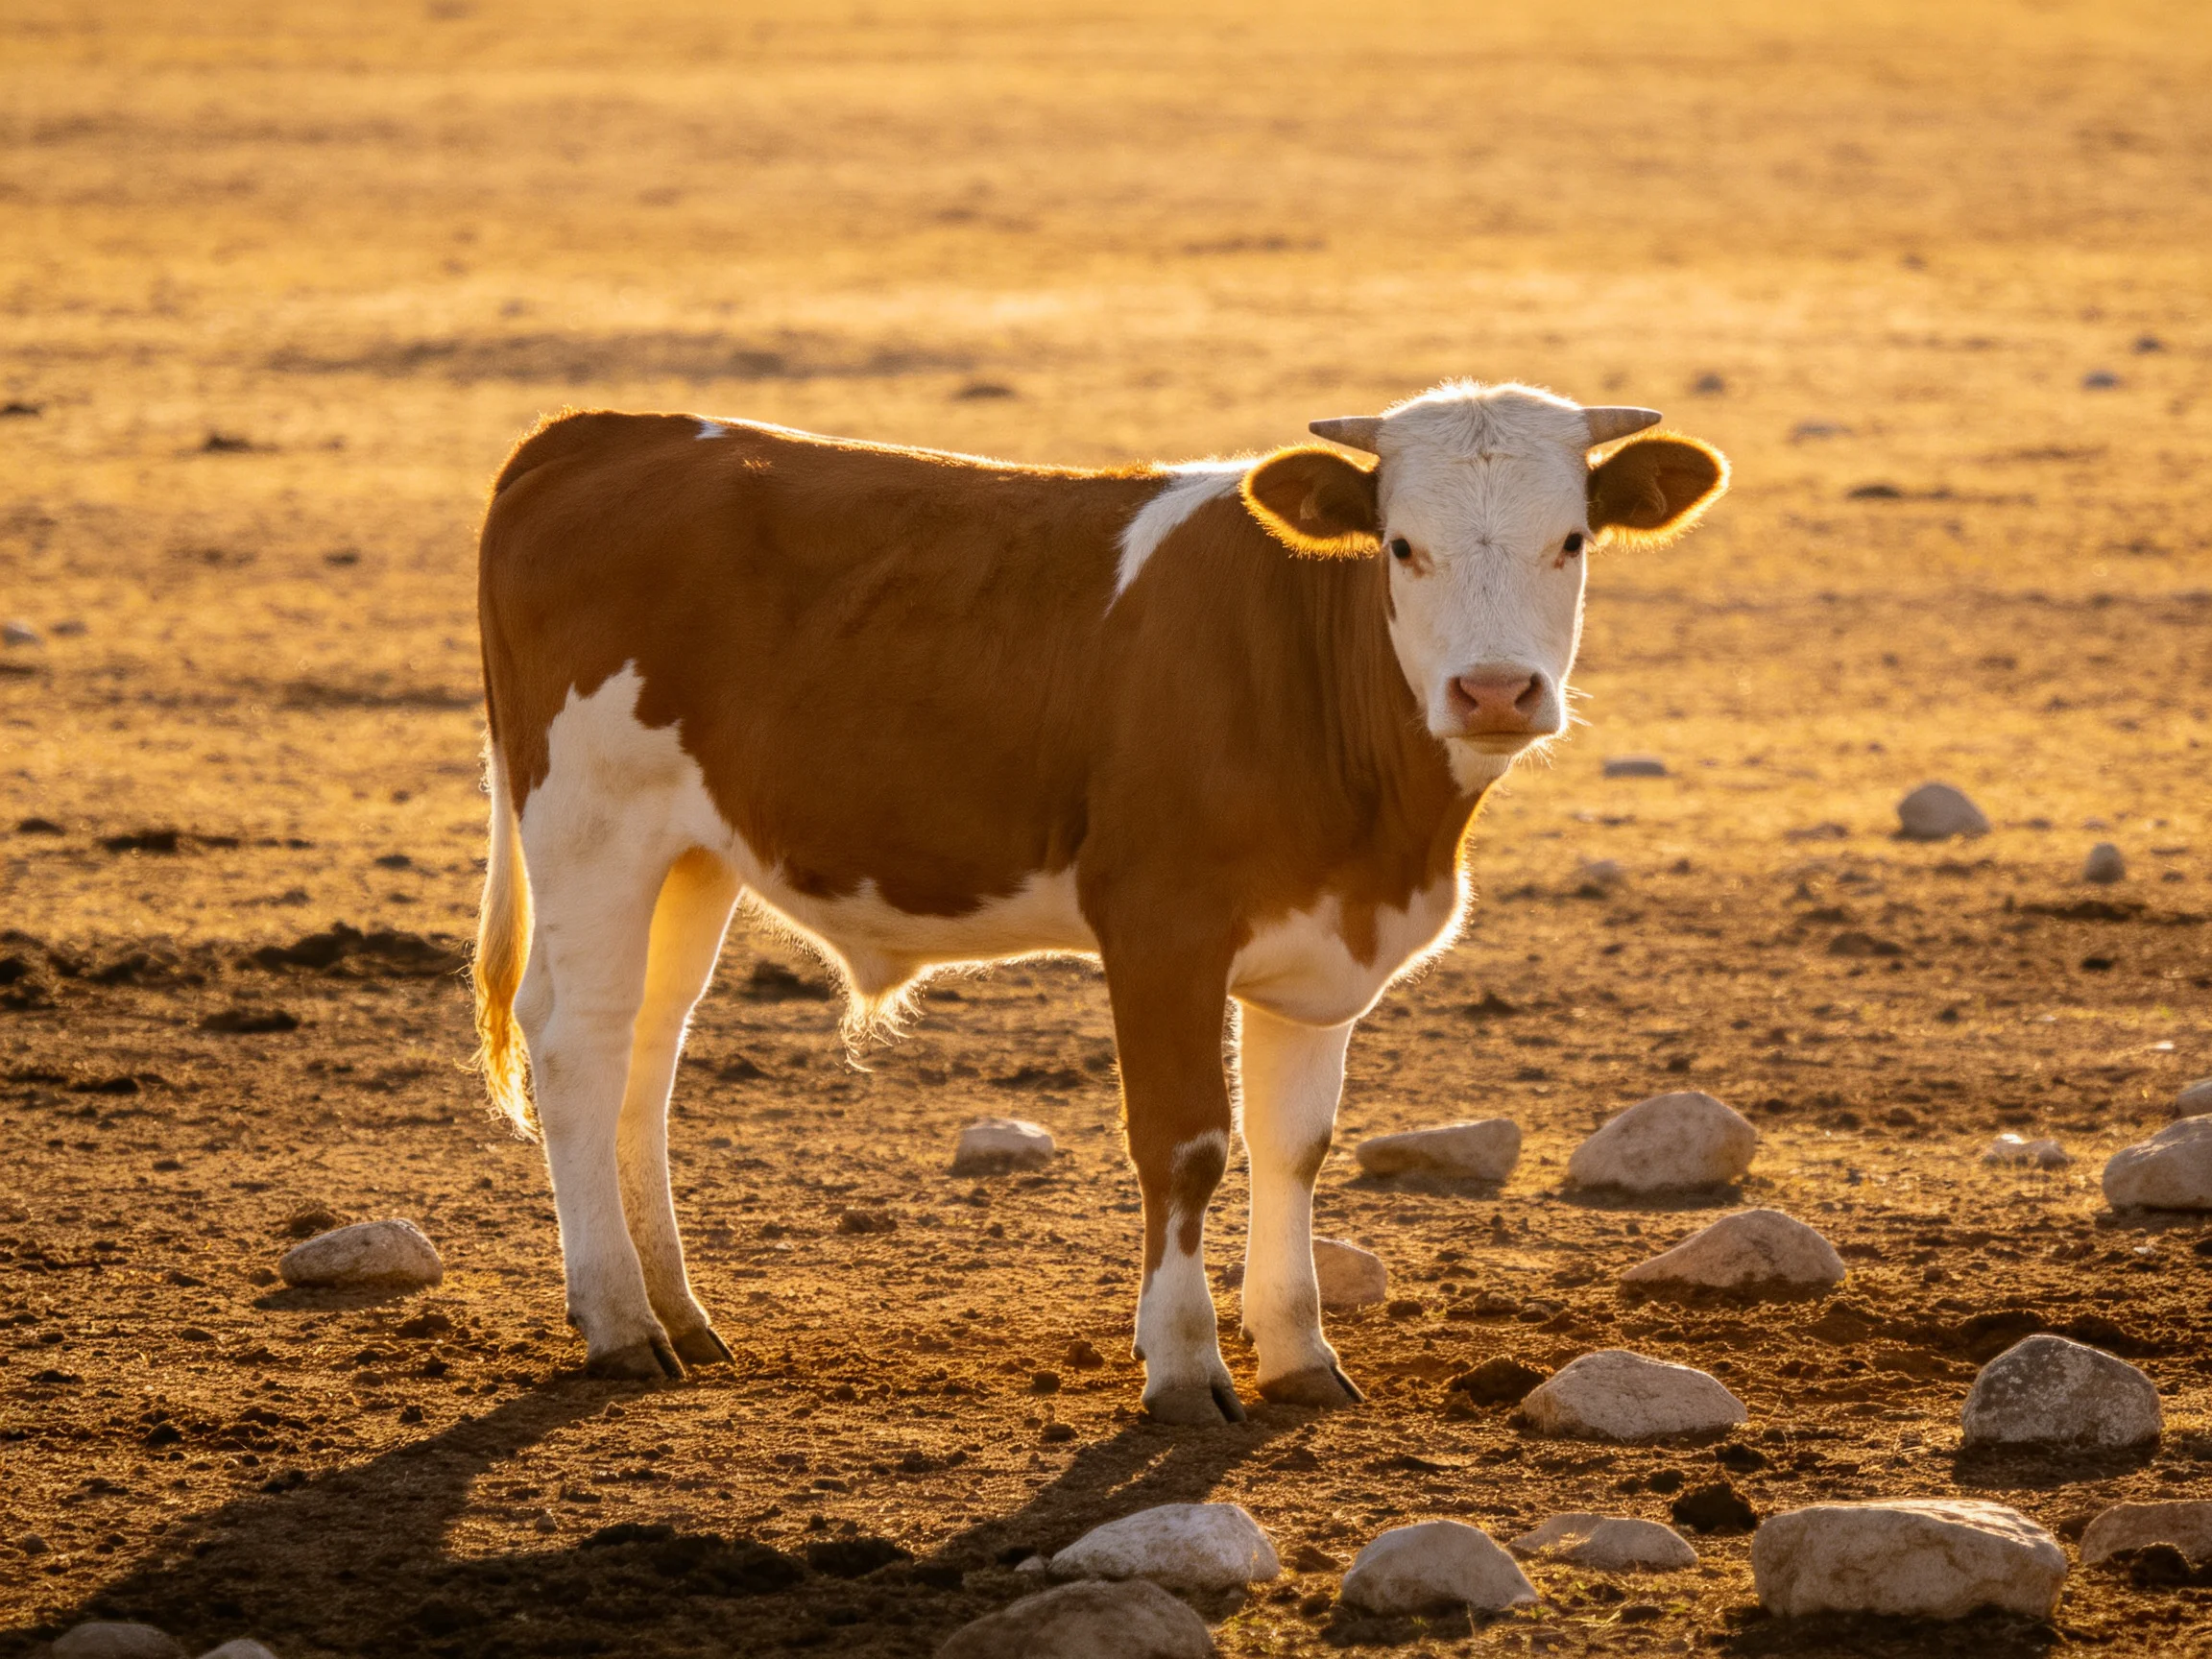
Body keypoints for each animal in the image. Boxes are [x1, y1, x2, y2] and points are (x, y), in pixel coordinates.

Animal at [471, 381, 1727, 1422]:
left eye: (1571, 540)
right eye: (1403, 547)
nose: (1496, 691)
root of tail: (605, 429)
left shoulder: (1317, 949)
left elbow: (1294, 1148)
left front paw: (1300, 1356)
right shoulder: (1161, 928)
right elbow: (1185, 1144)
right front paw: (1184, 1366)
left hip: (690, 856)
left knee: (647, 1050)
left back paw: (681, 1313)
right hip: (591, 820)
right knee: (577, 1047)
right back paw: (620, 1325)